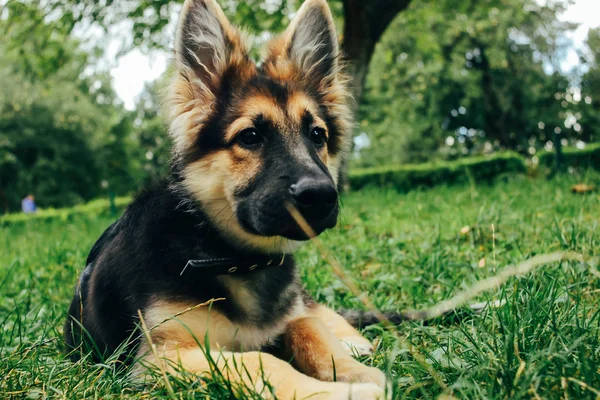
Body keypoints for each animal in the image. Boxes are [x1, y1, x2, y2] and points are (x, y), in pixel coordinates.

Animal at [63, 1, 386, 398]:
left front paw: (354, 372)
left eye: (317, 135)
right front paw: (331, 391)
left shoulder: (287, 315)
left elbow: (307, 326)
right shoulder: (164, 356)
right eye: (249, 136)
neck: (231, 256)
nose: (321, 195)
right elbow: (261, 360)